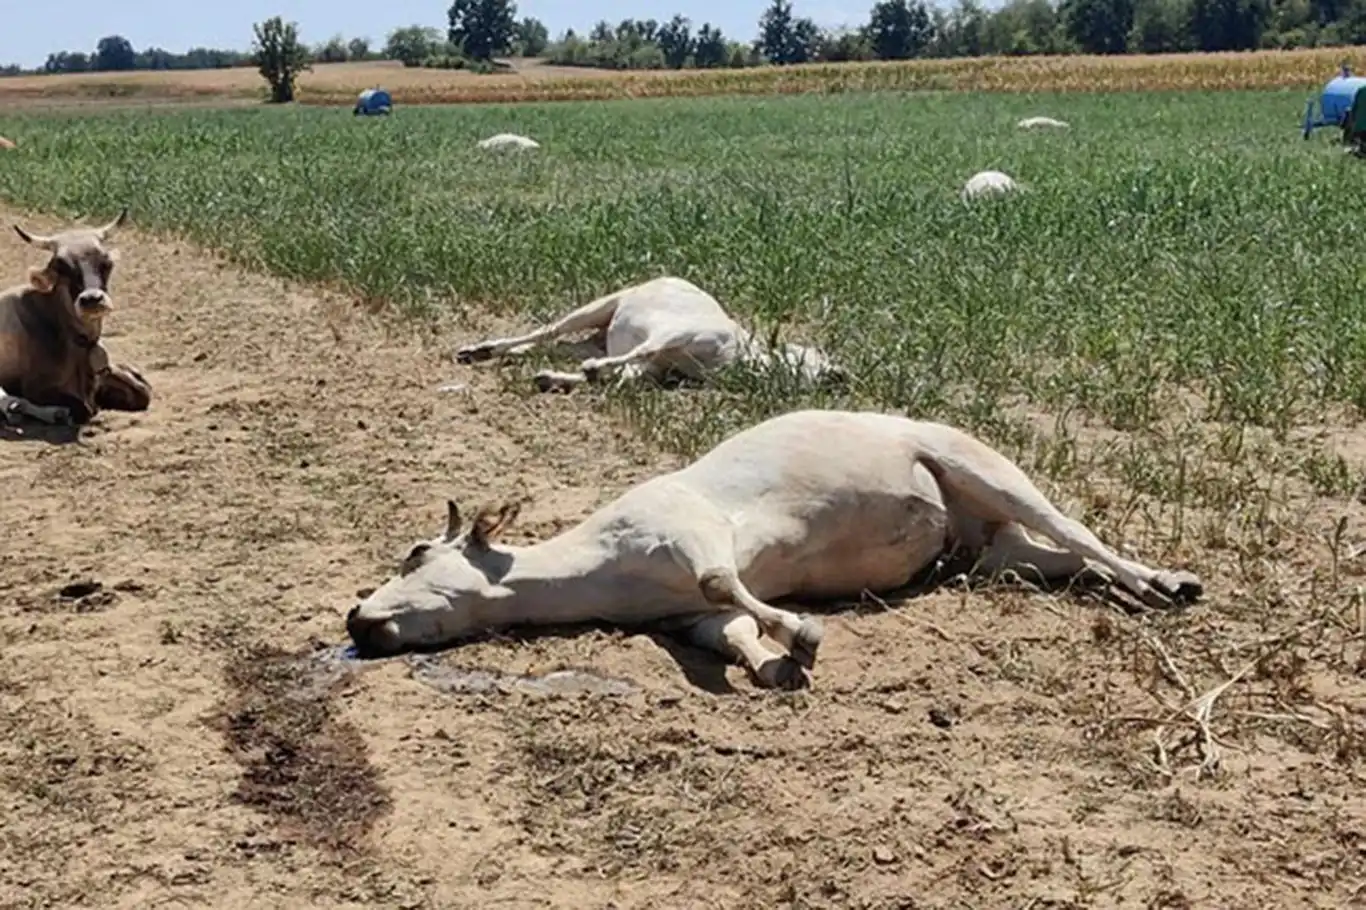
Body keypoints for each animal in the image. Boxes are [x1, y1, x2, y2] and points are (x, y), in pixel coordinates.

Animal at [0, 209, 152, 429]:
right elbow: (84, 409)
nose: (92, 299)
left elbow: (143, 391)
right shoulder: (35, 388)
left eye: (106, 263)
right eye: (61, 267)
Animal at [346, 407, 1202, 683]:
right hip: (991, 549)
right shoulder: (681, 619)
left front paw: (804, 634)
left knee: (1078, 530)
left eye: (417, 553)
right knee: (1065, 559)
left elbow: (726, 585)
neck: (597, 566)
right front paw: (771, 662)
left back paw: (1168, 582)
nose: (357, 620)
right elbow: (726, 630)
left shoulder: (692, 533)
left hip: (981, 467)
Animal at [456, 274, 841, 390]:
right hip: (598, 307)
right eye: (811, 354)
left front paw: (559, 378)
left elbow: (628, 375)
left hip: (596, 339)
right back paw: (479, 350)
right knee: (547, 332)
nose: (840, 374)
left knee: (558, 346)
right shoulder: (674, 334)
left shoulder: (657, 368)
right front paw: (590, 373)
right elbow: (639, 353)